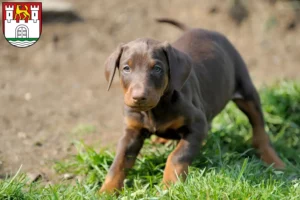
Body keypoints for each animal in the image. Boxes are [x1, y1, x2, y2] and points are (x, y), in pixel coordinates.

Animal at [99, 18, 284, 192]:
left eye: (157, 68)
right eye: (126, 68)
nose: (139, 97)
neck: (155, 109)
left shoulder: (197, 125)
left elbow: (177, 156)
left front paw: (170, 185)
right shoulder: (132, 131)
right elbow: (119, 162)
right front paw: (106, 191)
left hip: (246, 89)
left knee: (259, 127)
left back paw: (274, 160)